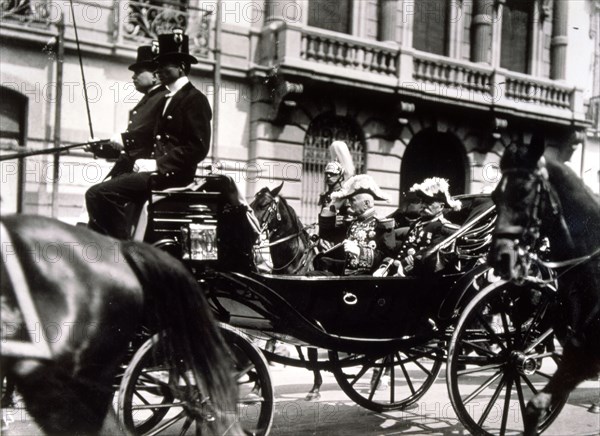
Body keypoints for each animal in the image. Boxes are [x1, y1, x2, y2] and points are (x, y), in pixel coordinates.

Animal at [488, 136, 600, 436]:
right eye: (495, 197)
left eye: (525, 191)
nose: (500, 257)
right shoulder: (578, 352)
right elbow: (534, 406)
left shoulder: (586, 355)